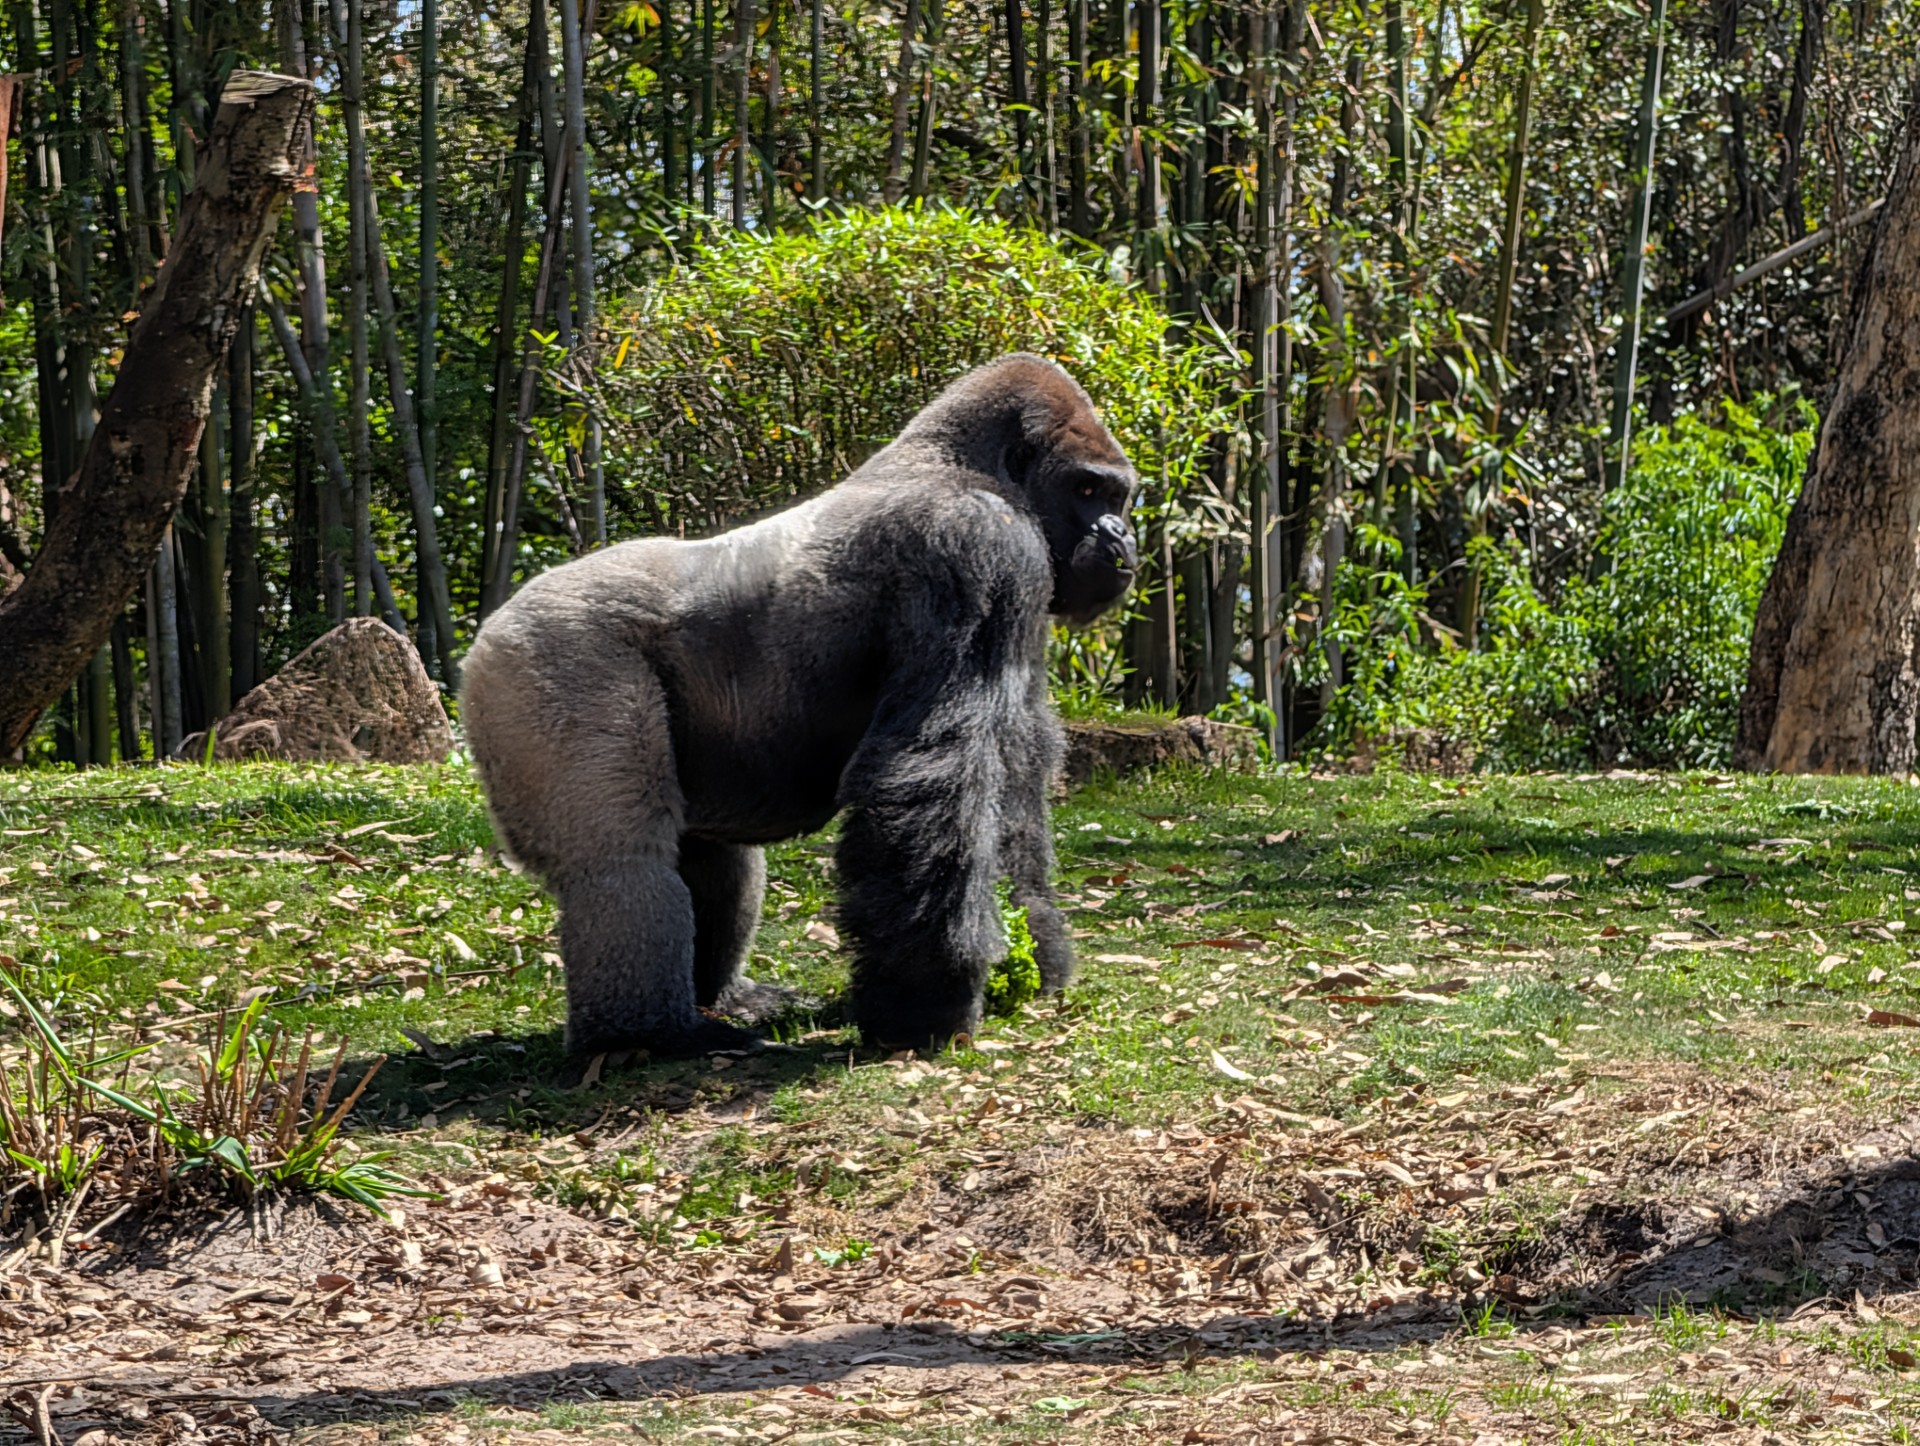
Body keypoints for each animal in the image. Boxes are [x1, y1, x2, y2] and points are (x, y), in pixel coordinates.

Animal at [460, 354, 1139, 1058]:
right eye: (1086, 490)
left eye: (1119, 496)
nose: (1121, 532)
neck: (966, 464)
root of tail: (486, 632)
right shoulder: (973, 548)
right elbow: (933, 774)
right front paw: (926, 1003)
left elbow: (1013, 784)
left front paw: (1035, 953)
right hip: (544, 657)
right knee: (620, 863)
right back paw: (646, 1036)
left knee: (709, 853)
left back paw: (722, 998)